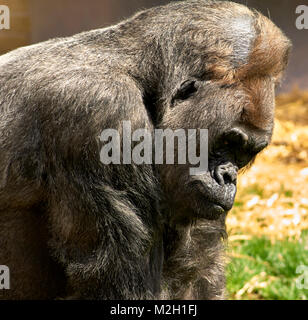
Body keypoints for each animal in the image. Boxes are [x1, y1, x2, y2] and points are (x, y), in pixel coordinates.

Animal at [0, 0, 292, 300]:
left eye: (244, 153)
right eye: (228, 142)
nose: (228, 178)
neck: (142, 76)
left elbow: (197, 262)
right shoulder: (105, 115)